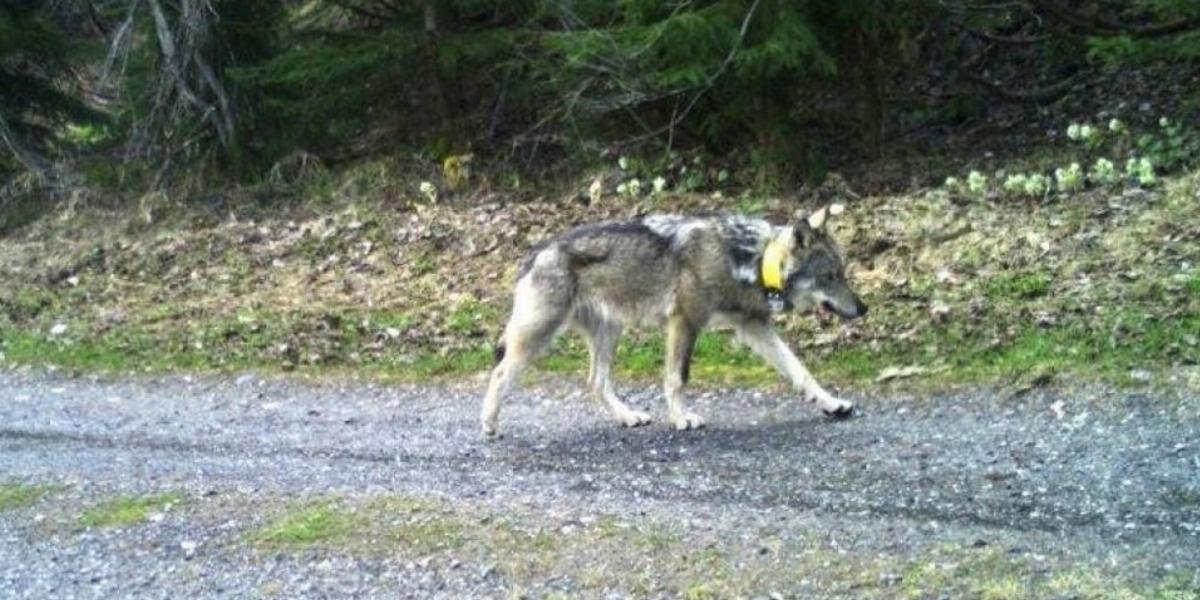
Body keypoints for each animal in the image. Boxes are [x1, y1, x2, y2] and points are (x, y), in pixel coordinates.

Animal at [482, 205, 868, 436]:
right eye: (830, 276)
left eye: (843, 273)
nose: (863, 309)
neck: (750, 259)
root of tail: (537, 251)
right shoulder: (685, 321)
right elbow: (677, 378)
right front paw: (682, 418)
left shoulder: (754, 326)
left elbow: (800, 370)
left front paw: (831, 403)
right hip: (540, 336)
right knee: (500, 373)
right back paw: (489, 424)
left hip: (610, 333)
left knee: (596, 382)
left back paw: (627, 416)